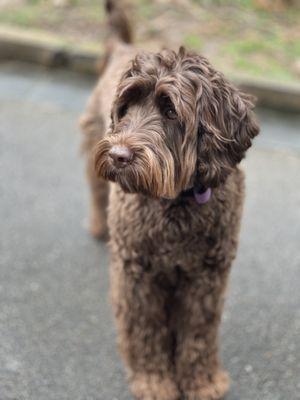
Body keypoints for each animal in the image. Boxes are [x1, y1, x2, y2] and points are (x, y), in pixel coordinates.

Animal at [81, 1, 258, 398]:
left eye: (171, 111)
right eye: (126, 108)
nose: (117, 155)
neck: (177, 202)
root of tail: (121, 46)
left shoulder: (207, 275)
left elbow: (198, 332)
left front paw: (202, 380)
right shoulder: (137, 273)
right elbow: (145, 331)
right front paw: (154, 381)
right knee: (97, 192)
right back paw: (100, 227)